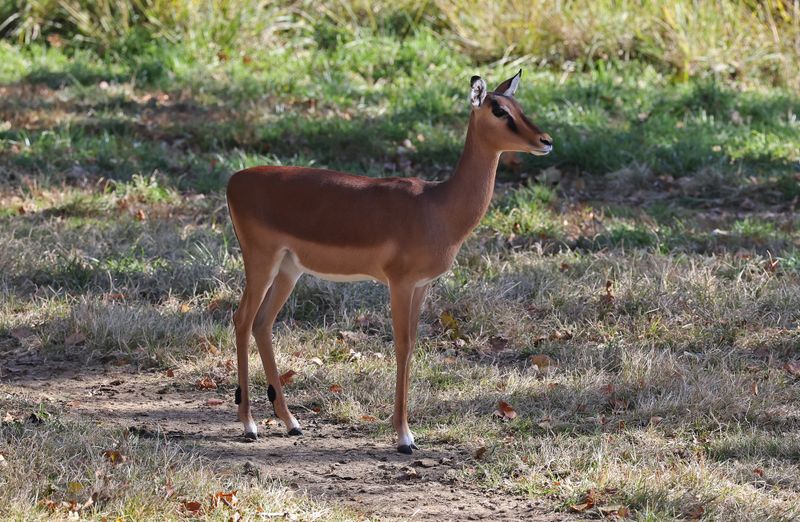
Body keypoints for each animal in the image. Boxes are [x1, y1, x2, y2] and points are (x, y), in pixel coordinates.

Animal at [226, 70, 552, 454]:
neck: (438, 206)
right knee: (242, 319)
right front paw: (404, 438)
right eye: (499, 110)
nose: (546, 141)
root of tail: (234, 180)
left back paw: (292, 423)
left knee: (263, 323)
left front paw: (407, 433)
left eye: (519, 105)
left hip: (289, 270)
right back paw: (249, 425)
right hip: (261, 262)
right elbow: (401, 345)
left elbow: (411, 346)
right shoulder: (400, 283)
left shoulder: (422, 285)